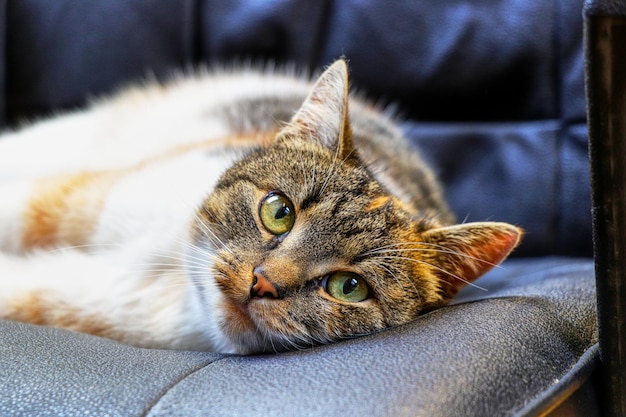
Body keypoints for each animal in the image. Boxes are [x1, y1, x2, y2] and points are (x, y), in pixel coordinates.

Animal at [0, 60, 520, 352]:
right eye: (279, 211)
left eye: (349, 286)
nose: (263, 283)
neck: (171, 265)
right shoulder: (91, 196)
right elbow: (25, 207)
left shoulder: (96, 301)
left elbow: (23, 290)